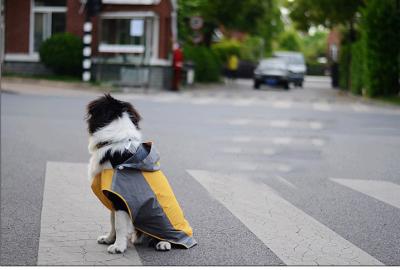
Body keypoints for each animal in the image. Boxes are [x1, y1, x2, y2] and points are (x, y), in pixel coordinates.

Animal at [86, 95, 173, 253]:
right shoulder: (112, 196)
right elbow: (112, 221)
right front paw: (109, 239)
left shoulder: (120, 199)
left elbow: (119, 225)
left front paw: (118, 247)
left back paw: (163, 243)